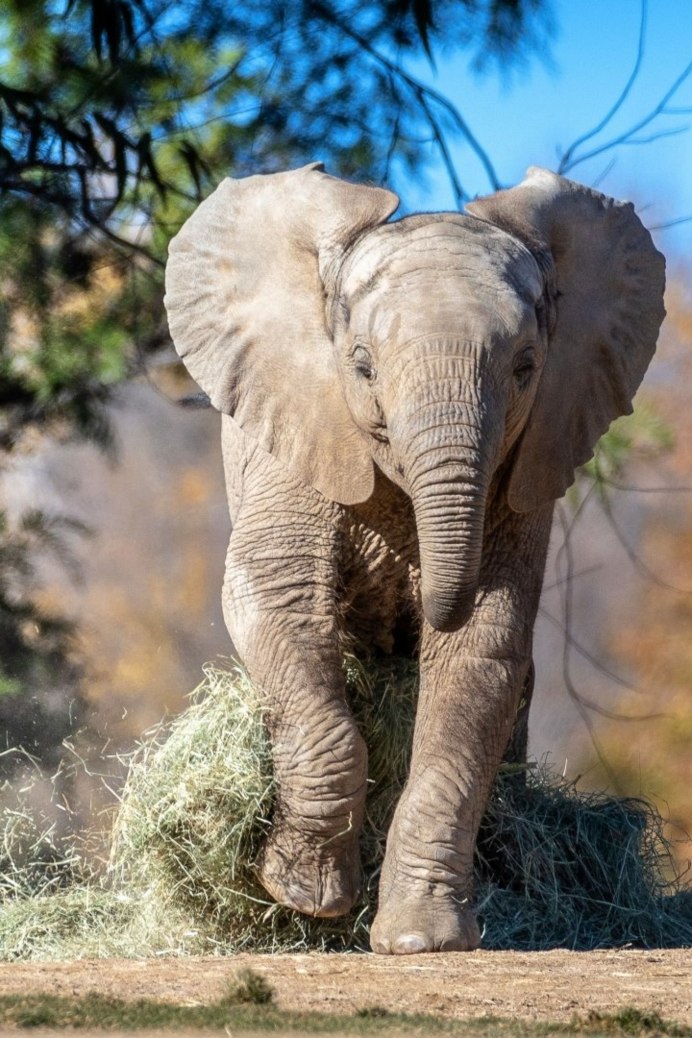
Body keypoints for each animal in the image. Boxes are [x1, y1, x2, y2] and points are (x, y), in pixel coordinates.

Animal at [163, 159, 663, 950]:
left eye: (526, 367)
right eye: (362, 366)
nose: (417, 595)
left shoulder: (522, 470)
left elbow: (482, 648)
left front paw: (422, 941)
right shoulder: (299, 429)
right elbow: (277, 601)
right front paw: (303, 897)